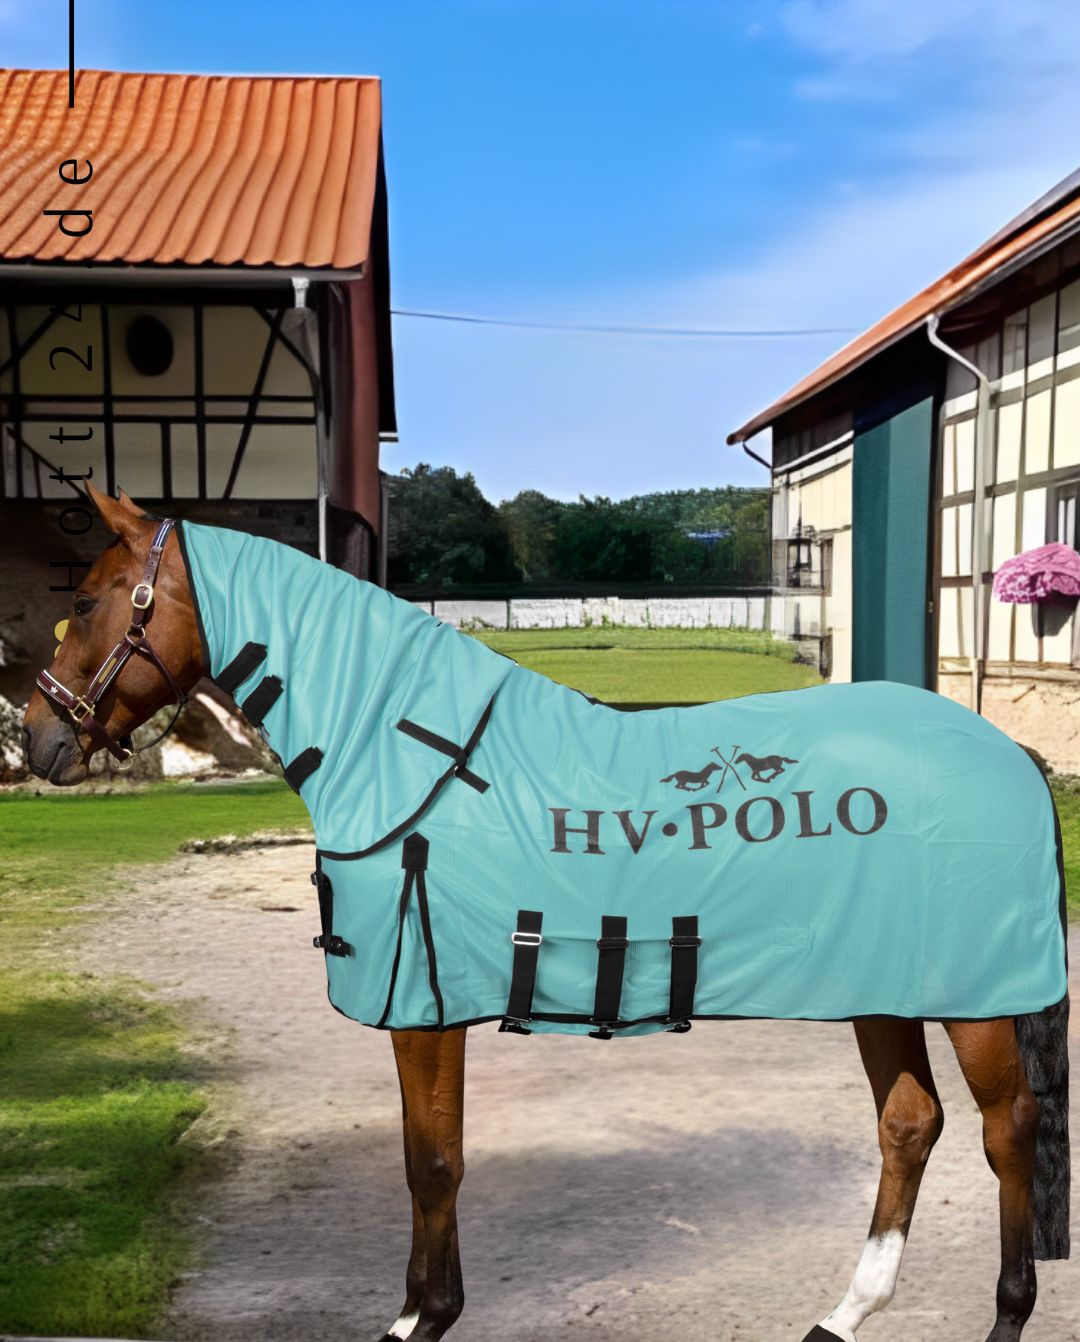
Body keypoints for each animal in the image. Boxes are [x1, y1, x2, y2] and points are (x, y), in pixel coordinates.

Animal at [22, 485, 1071, 1342]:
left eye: (90, 599)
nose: (35, 740)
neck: (413, 757)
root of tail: (1006, 751)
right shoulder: (428, 1010)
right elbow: (431, 1155)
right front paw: (429, 1309)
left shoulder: (425, 1011)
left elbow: (432, 1162)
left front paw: (421, 1318)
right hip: (882, 985)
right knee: (910, 1124)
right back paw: (845, 1314)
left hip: (973, 1002)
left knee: (1007, 1129)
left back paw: (1006, 1313)